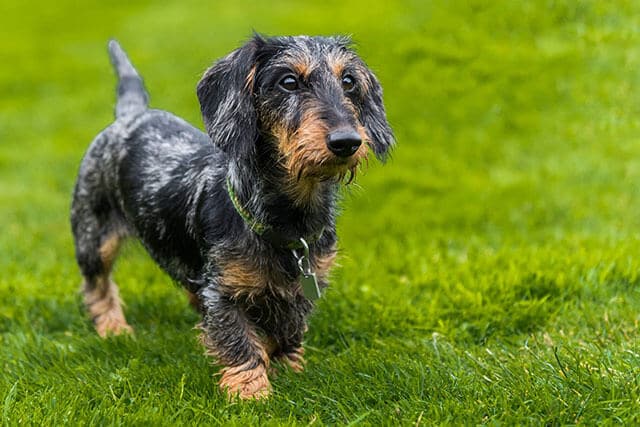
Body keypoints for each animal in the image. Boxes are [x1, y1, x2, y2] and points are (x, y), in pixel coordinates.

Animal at [69, 35, 390, 400]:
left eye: (349, 81)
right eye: (288, 82)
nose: (347, 141)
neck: (288, 218)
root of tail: (132, 114)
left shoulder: (306, 285)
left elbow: (288, 330)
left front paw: (290, 369)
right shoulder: (223, 292)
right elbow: (239, 341)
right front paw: (251, 393)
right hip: (94, 237)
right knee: (98, 287)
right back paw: (114, 329)